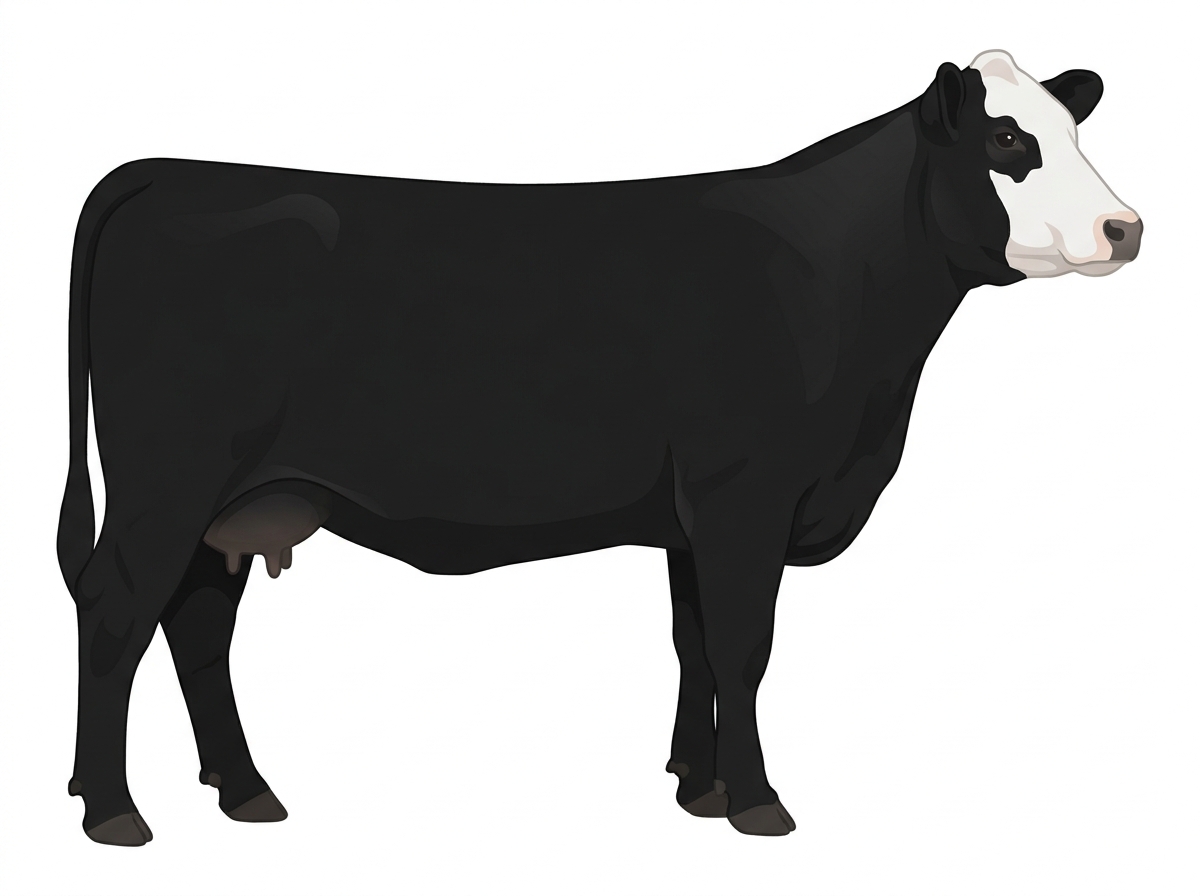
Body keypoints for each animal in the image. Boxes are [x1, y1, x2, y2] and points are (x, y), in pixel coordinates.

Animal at [57, 49, 1141, 845]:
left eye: (1073, 128)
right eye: (1007, 139)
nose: (1123, 227)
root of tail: (160, 172)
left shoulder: (694, 516)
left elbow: (695, 643)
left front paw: (698, 787)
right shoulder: (746, 495)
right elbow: (745, 646)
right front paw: (758, 801)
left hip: (235, 501)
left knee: (197, 624)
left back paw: (245, 790)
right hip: (168, 480)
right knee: (117, 610)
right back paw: (112, 809)